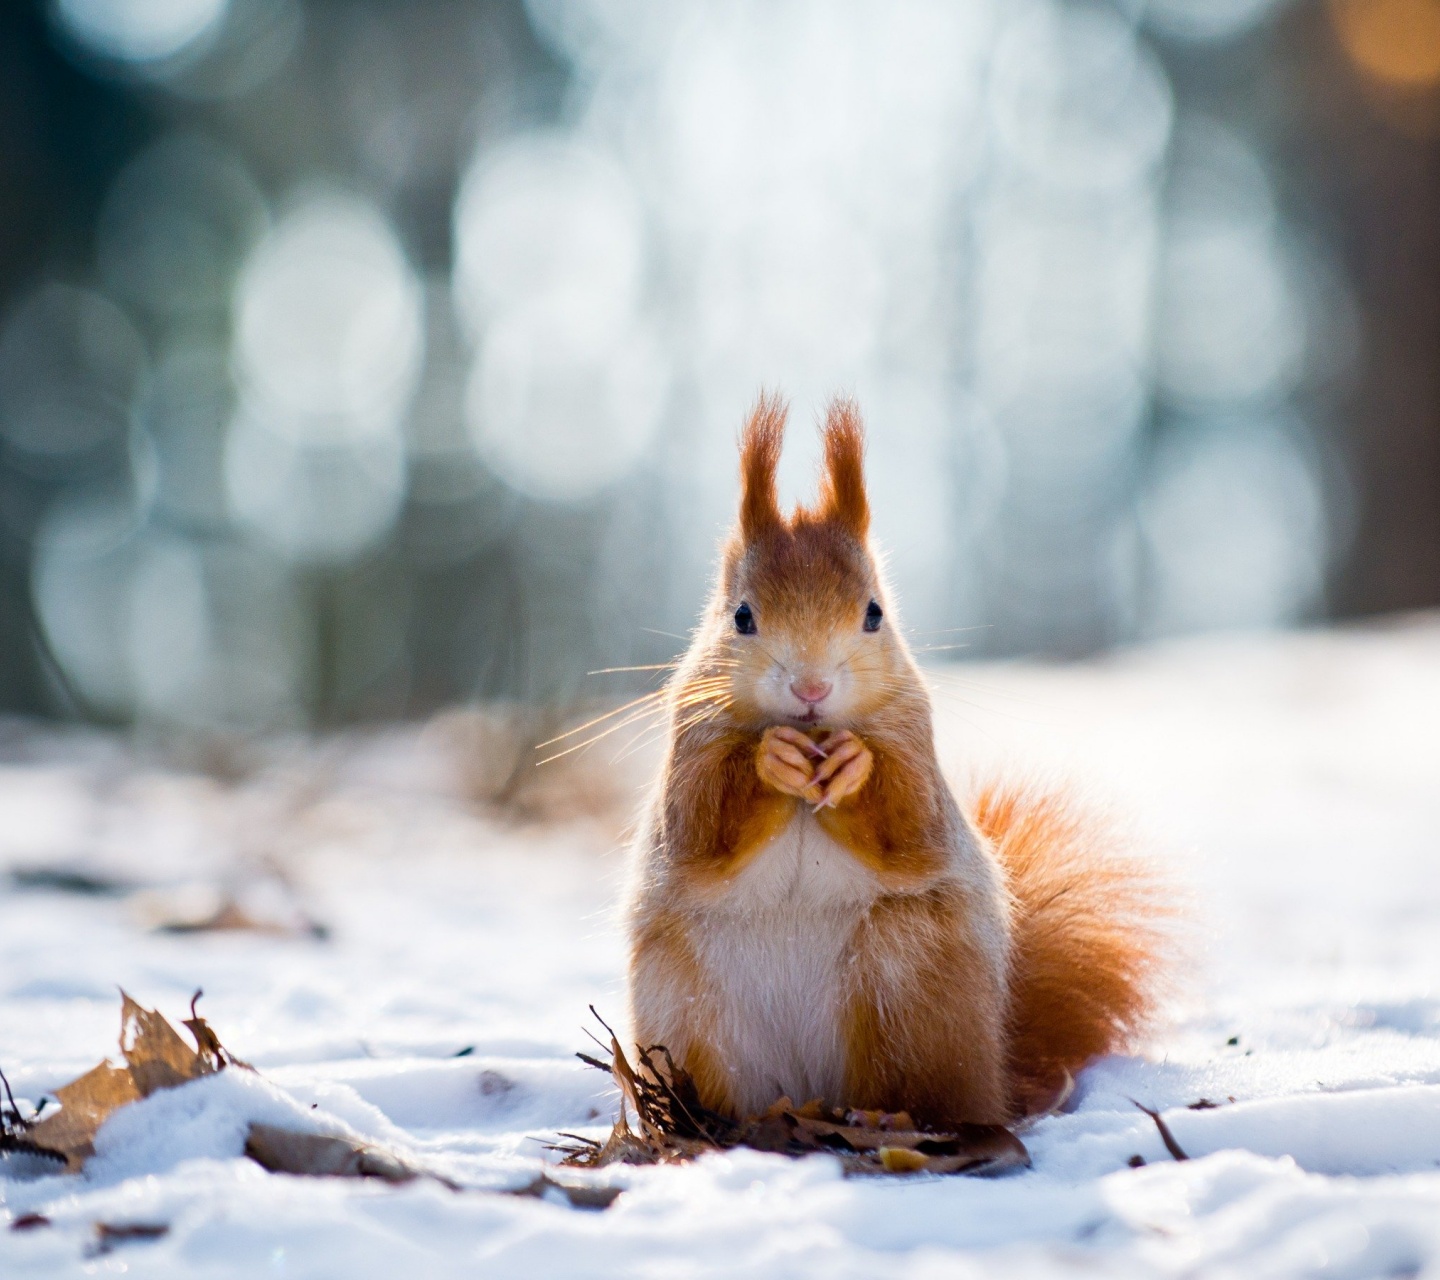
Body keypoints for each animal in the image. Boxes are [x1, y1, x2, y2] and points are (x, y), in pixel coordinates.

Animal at [624, 394, 1163, 1123]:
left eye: (874, 613)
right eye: (741, 616)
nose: (811, 690)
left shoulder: (915, 744)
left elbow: (910, 825)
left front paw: (855, 766)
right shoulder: (690, 746)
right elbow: (701, 828)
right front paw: (772, 758)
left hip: (909, 981)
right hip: (686, 1010)